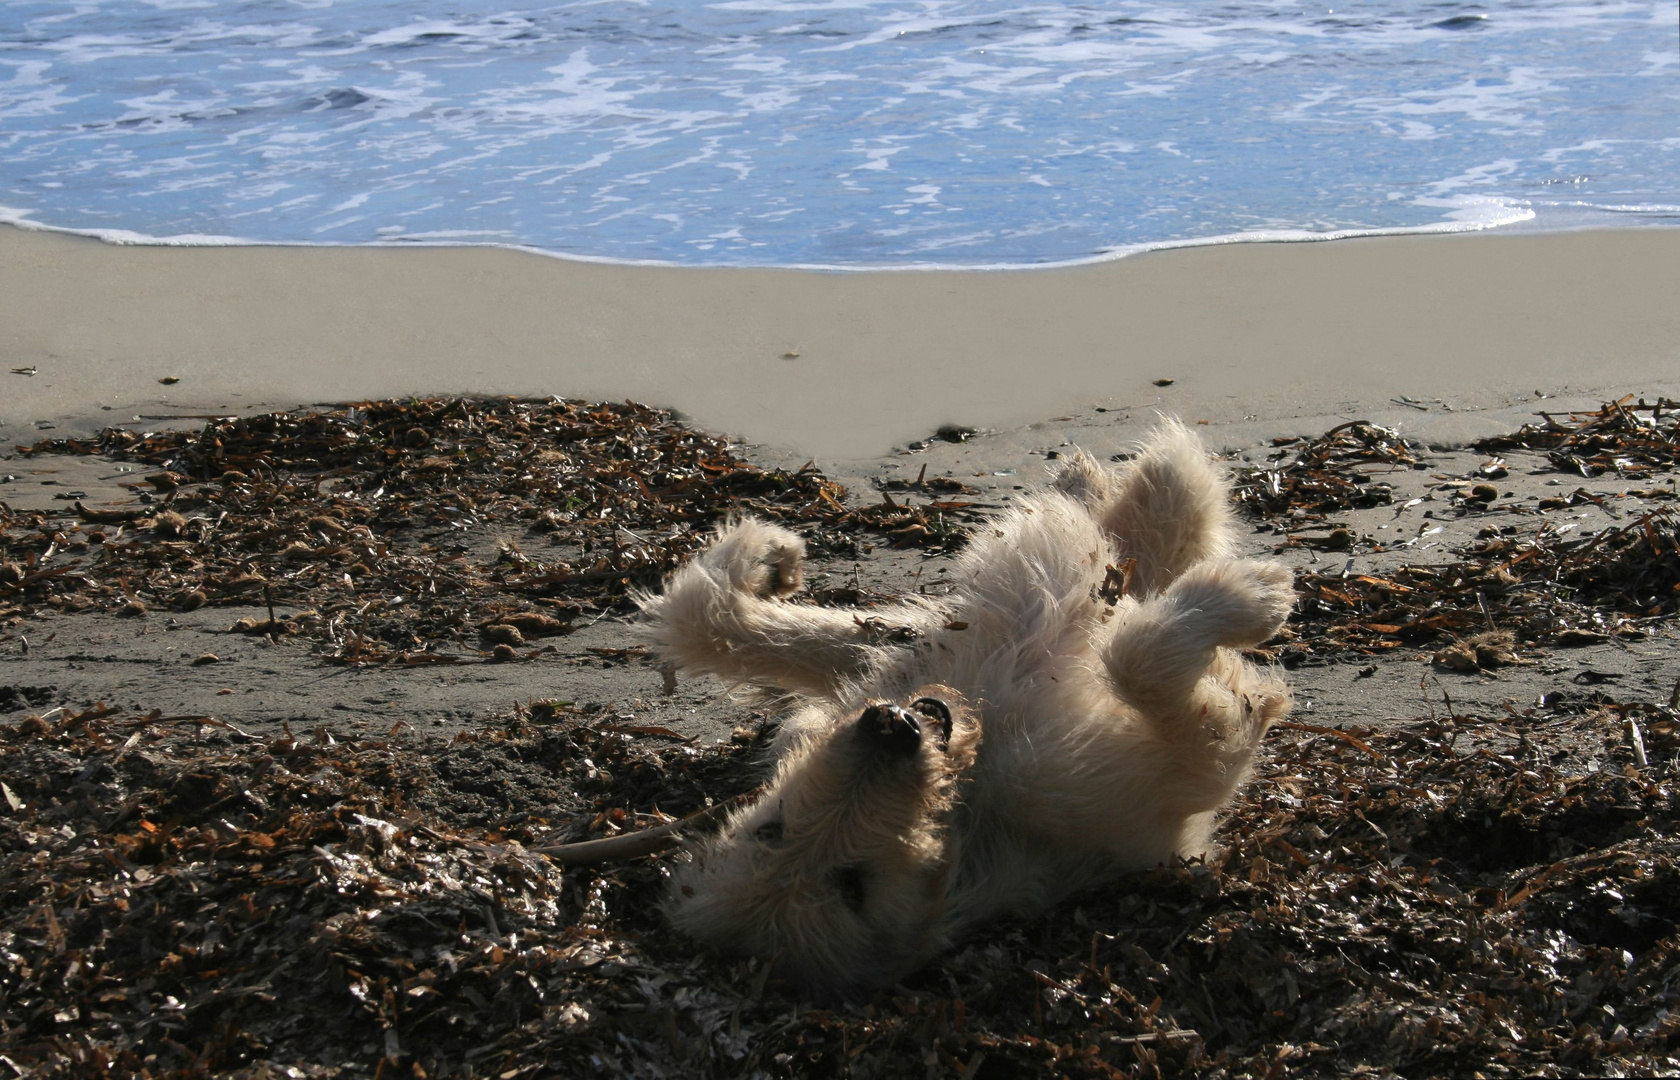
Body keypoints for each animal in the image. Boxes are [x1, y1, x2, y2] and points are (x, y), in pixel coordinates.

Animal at [635, 419, 1290, 994]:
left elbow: (706, 618)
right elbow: (1147, 663)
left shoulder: (907, 649)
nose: (891, 728)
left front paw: (769, 555)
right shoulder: (1140, 788)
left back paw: (1091, 482)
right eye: (854, 888)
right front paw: (1253, 596)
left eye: (768, 829)